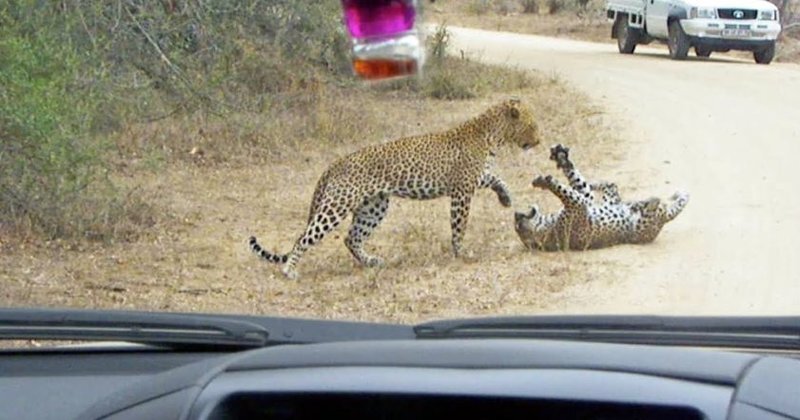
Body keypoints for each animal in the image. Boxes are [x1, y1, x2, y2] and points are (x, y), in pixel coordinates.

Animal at [247, 98, 540, 278]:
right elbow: (459, 226)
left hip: (374, 206)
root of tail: (335, 163)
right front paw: (461, 253)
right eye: (532, 125)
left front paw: (505, 197)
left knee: (351, 238)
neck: (494, 135)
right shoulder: (462, 190)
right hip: (338, 205)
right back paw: (290, 270)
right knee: (303, 237)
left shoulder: (472, 179)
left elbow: (496, 178)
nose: (539, 141)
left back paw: (371, 262)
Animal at [516, 143, 692, 251]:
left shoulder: (583, 201)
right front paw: (545, 181)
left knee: (607, 185)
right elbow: (562, 189)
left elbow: (575, 183)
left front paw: (558, 160)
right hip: (642, 225)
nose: (516, 213)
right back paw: (650, 201)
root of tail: (663, 219)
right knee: (652, 203)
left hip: (612, 200)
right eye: (517, 225)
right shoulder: (577, 205)